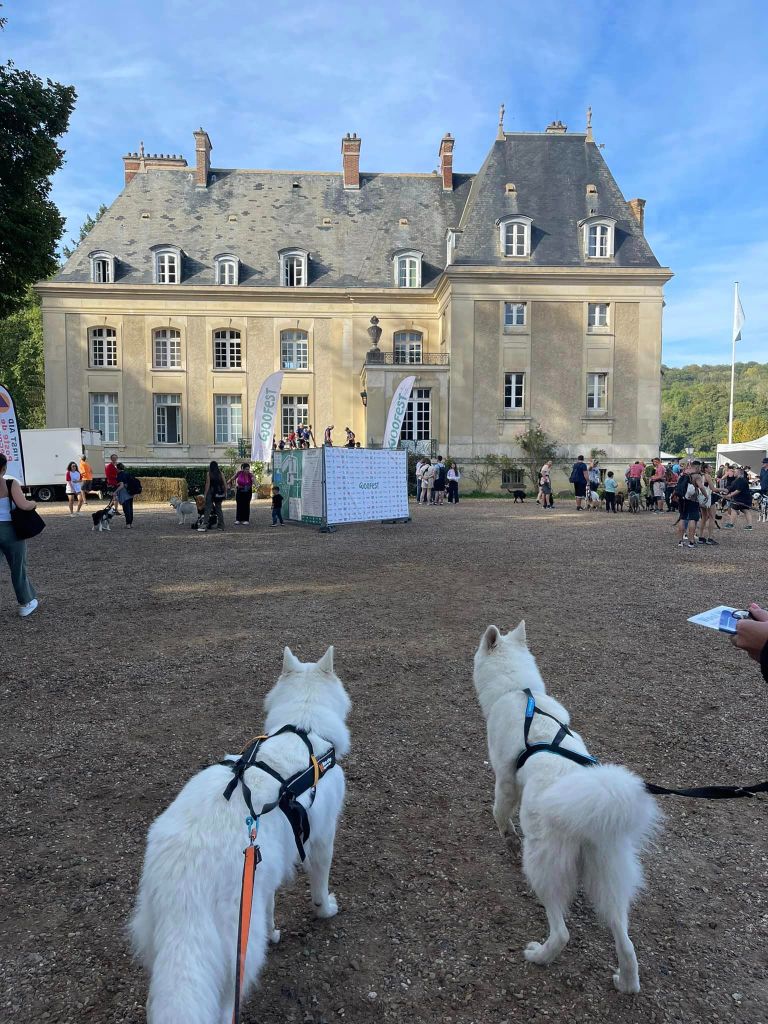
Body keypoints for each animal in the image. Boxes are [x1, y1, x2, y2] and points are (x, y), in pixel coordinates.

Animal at [130, 647, 352, 1024]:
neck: (304, 727)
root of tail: (185, 880)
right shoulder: (322, 837)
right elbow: (320, 886)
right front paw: (325, 909)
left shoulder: (264, 868)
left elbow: (271, 903)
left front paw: (276, 930)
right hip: (239, 951)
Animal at [475, 618, 663, 995]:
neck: (519, 690)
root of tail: (589, 817)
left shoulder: (504, 779)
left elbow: (499, 812)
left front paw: (507, 836)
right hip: (608, 878)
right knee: (626, 943)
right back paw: (626, 982)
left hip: (541, 867)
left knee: (562, 932)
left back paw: (539, 955)